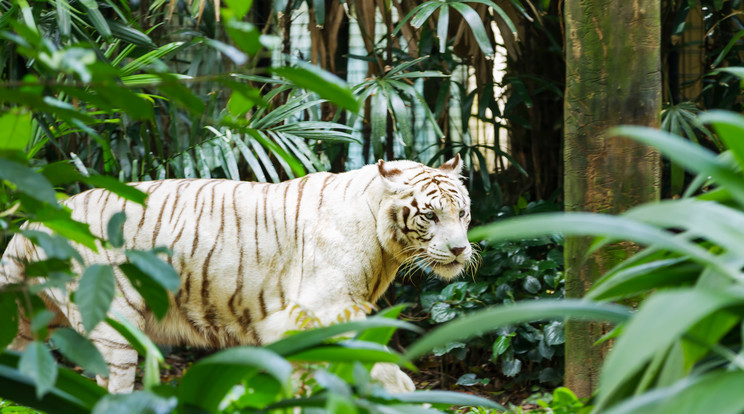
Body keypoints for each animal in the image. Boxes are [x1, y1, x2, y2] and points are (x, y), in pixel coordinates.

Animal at [2, 156, 474, 394]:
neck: (385, 248)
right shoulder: (318, 311)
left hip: (30, 319)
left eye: (463, 213)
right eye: (430, 215)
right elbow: (369, 362)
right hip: (115, 322)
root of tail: (33, 222)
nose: (459, 249)